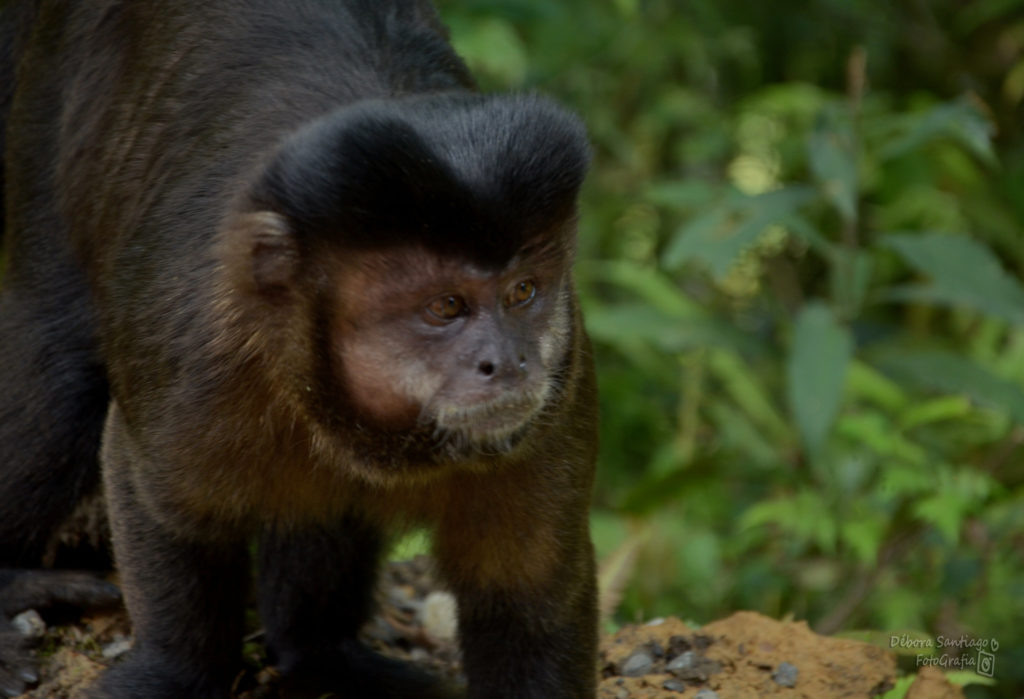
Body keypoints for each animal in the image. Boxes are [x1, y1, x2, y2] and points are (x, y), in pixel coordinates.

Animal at [0, 1, 598, 699]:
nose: (509, 361)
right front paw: (175, 669)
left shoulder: (561, 393)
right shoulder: (194, 357)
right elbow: (154, 495)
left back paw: (319, 652)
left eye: (522, 292)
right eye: (446, 307)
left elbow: (529, 596)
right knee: (55, 376)